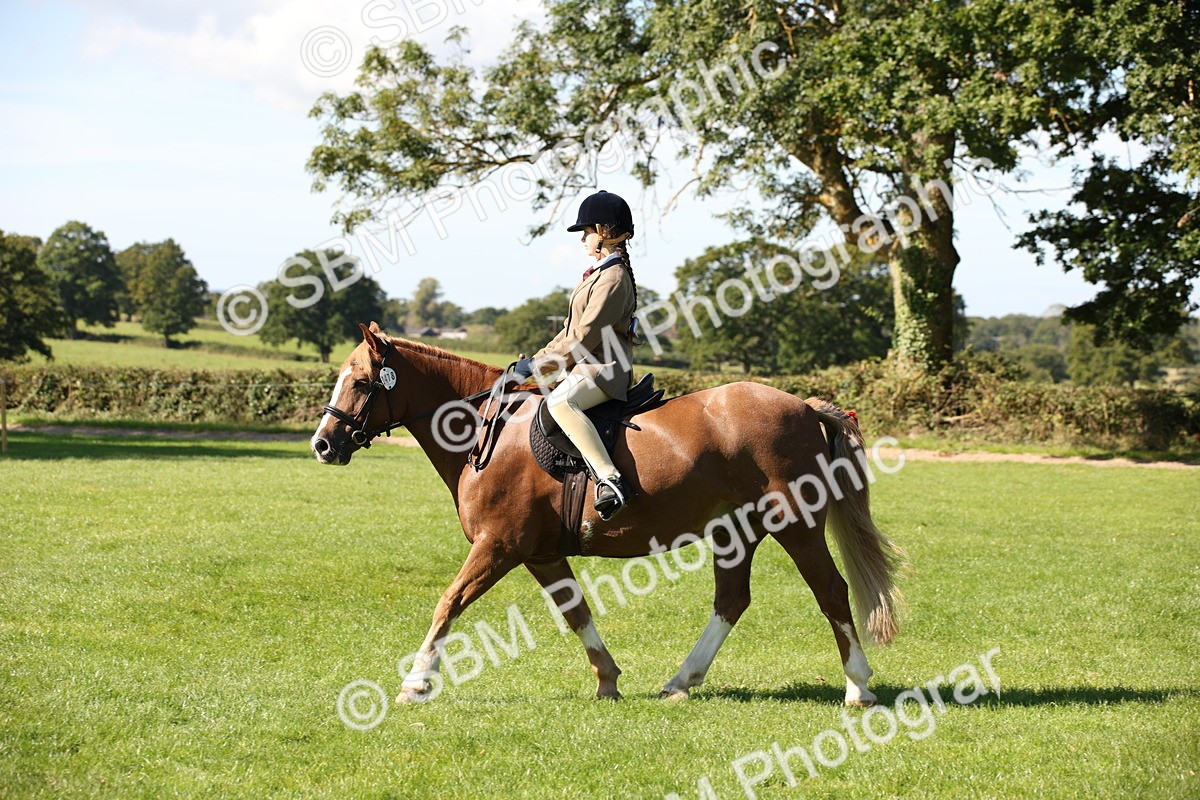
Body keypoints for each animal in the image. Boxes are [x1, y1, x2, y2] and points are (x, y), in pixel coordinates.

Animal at [310, 323, 905, 705]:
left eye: (360, 382)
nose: (322, 445)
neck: (488, 429)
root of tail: (804, 405)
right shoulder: (541, 555)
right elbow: (576, 613)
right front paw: (608, 680)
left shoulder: (498, 546)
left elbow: (448, 603)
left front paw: (415, 683)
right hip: (735, 531)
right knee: (731, 600)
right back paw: (680, 682)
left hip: (795, 524)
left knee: (831, 592)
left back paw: (858, 686)